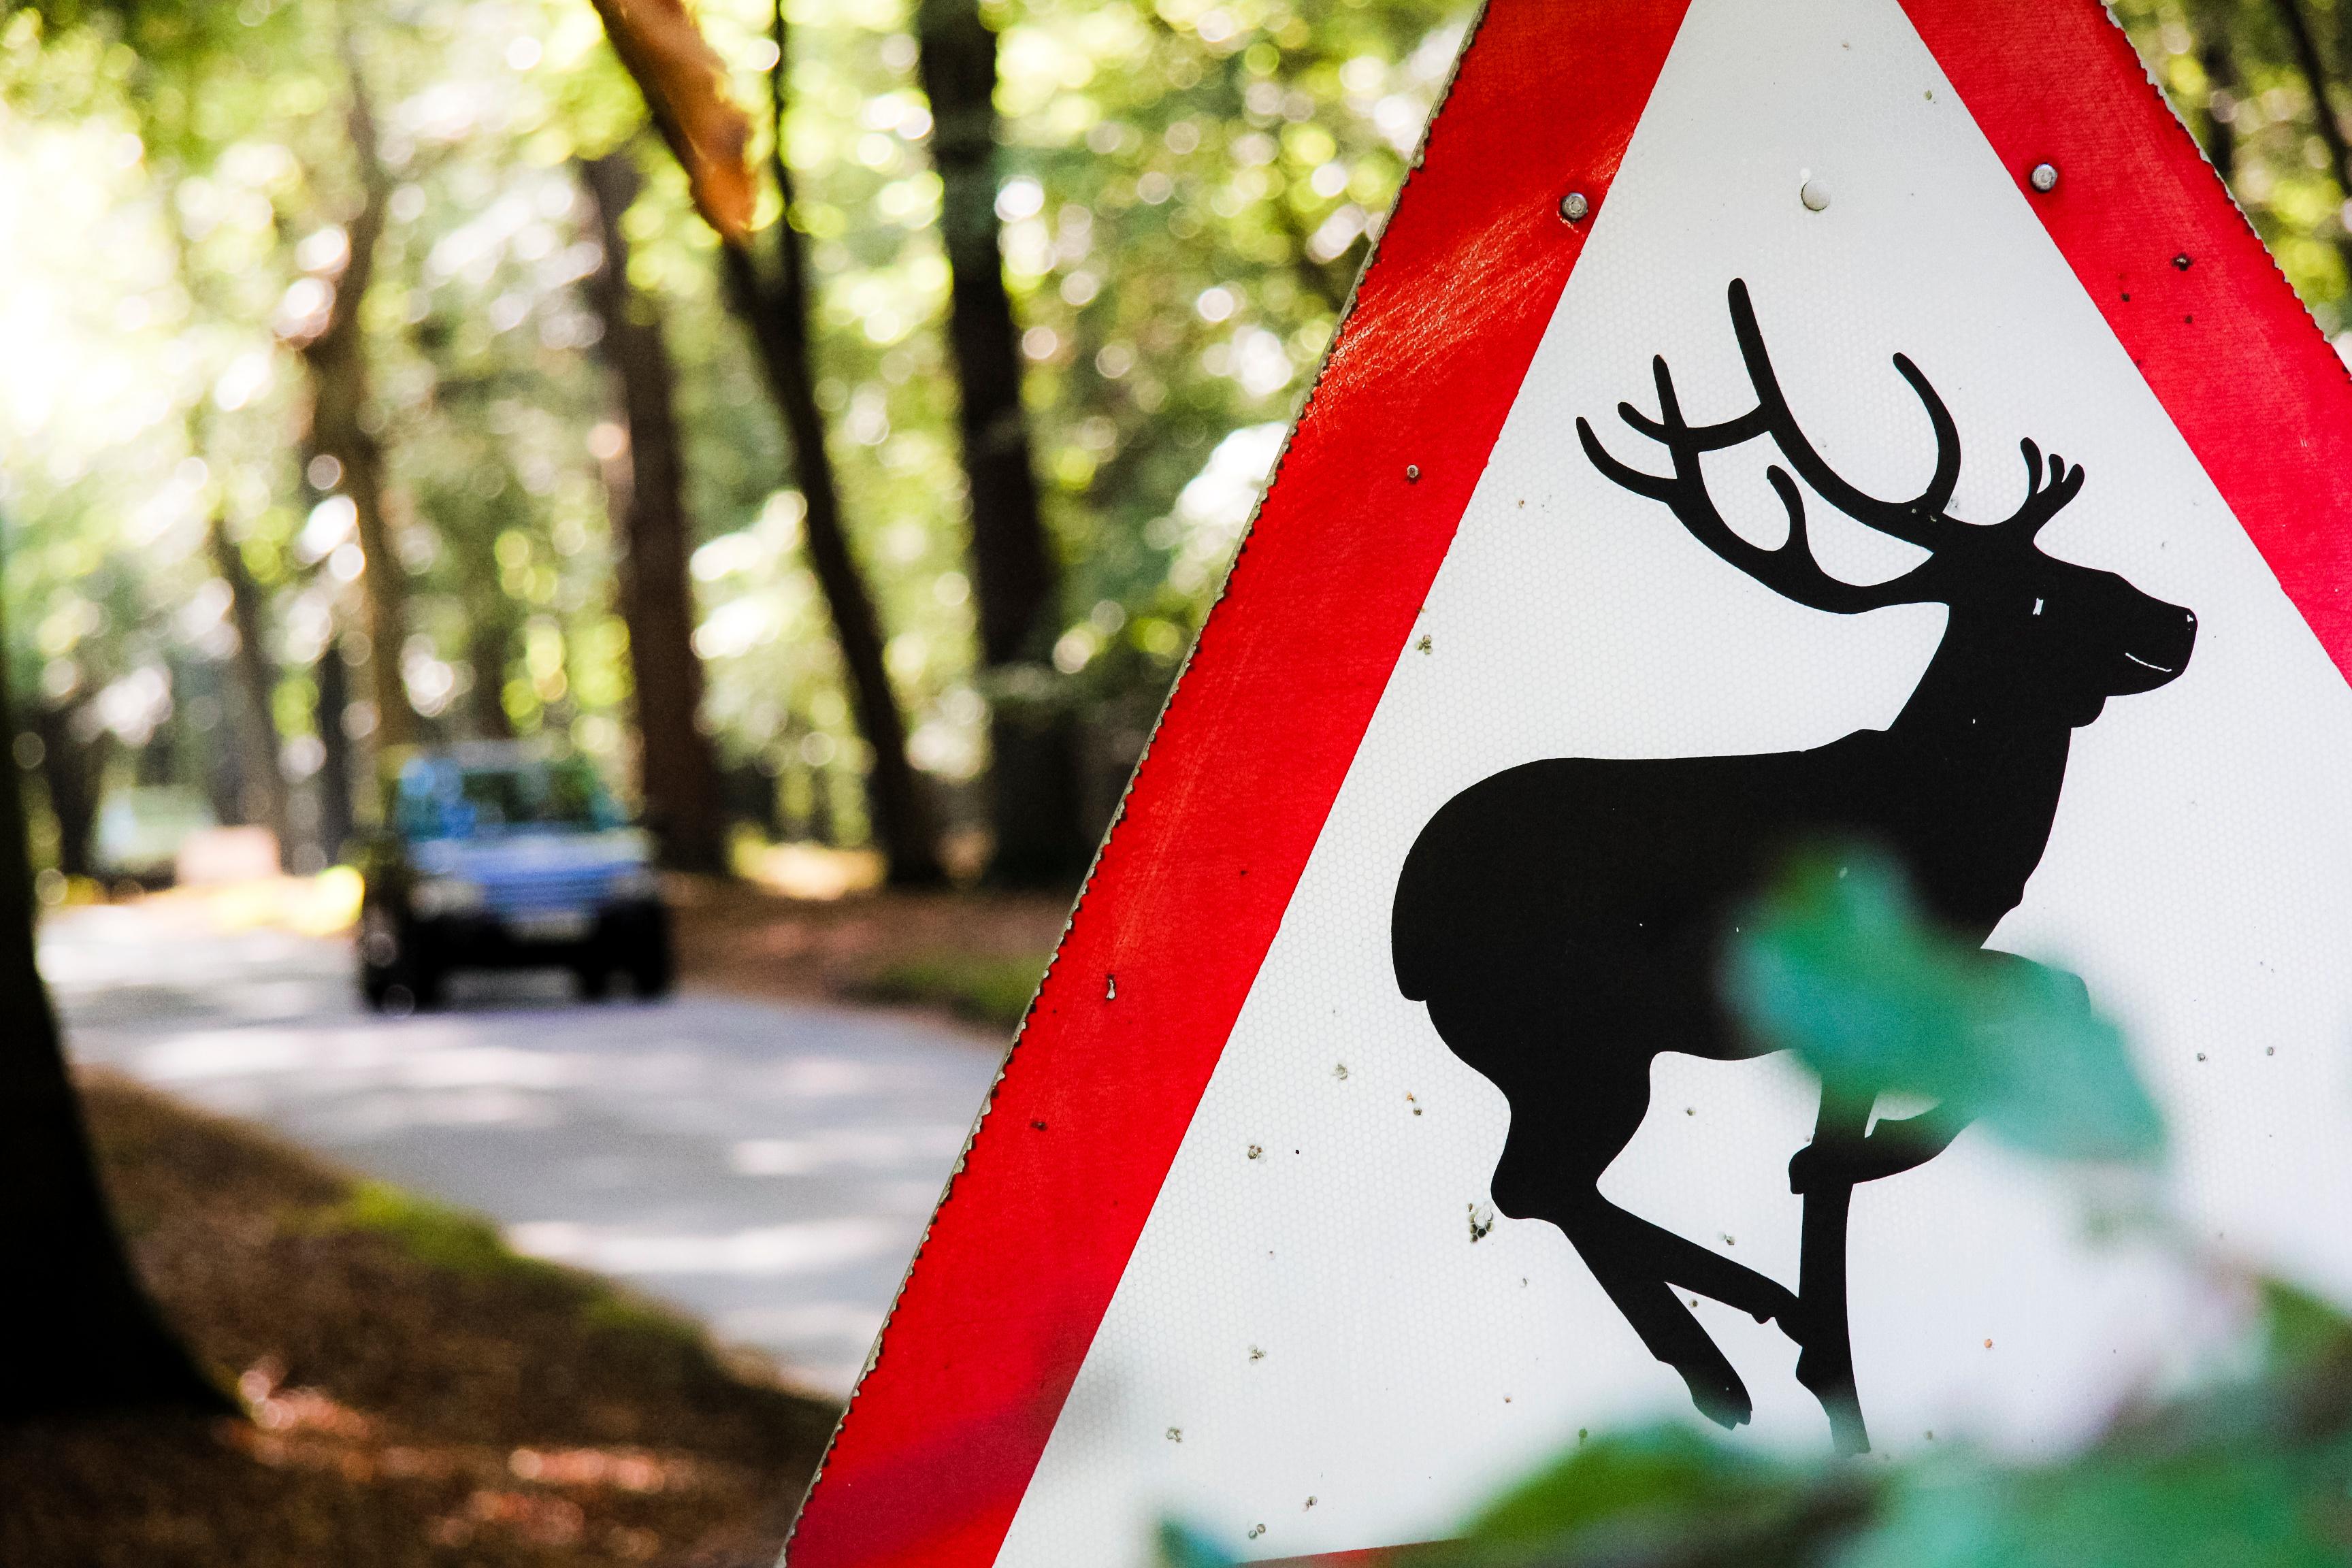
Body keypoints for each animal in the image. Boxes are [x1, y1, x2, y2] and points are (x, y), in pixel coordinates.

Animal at [1390, 279, 2196, 1453]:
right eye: (2047, 593)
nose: (2178, 619)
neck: (1952, 808)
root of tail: (1404, 940)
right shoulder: (1900, 950)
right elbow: (2062, 991)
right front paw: (1844, 1160)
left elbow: (2057, 993)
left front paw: (1839, 1167)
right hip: (1581, 1037)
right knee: (1536, 1180)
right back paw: (1742, 1341)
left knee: (1537, 1182)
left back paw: (1749, 1342)